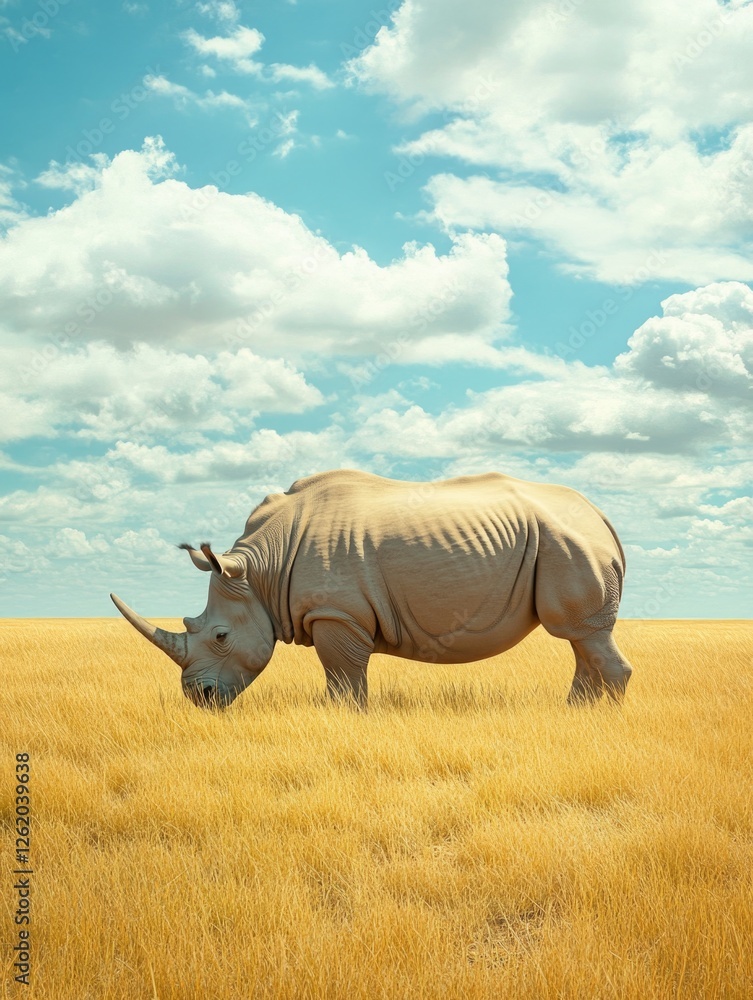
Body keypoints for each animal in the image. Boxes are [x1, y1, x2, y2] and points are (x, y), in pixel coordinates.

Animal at [111, 469, 634, 709]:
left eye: (220, 636)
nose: (197, 698)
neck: (260, 570)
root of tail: (603, 517)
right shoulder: (338, 614)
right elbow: (347, 677)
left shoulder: (335, 613)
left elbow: (343, 679)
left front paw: (345, 721)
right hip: (563, 540)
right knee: (582, 637)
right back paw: (573, 714)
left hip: (568, 543)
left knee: (581, 633)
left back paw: (598, 719)